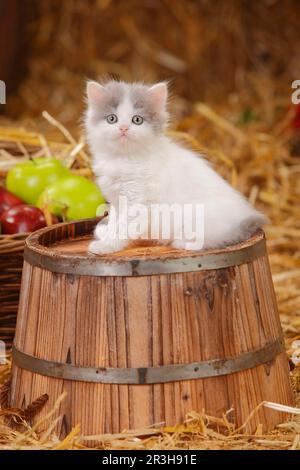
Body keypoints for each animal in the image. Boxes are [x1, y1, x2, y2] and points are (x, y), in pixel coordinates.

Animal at [85, 80, 268, 253]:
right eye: (112, 119)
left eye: (137, 120)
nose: (123, 128)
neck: (123, 158)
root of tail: (242, 216)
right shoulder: (116, 201)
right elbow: (115, 221)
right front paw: (105, 233)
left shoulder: (138, 202)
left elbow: (123, 228)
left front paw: (106, 246)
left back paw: (183, 242)